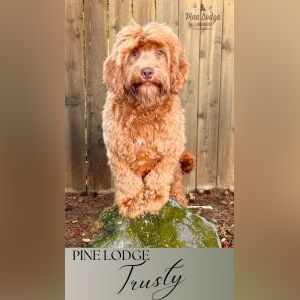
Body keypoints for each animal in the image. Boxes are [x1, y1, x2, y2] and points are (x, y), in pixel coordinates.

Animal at [102, 22, 195, 218]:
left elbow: (158, 176)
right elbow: (128, 180)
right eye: (134, 53)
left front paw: (153, 199)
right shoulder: (116, 151)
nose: (147, 71)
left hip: (177, 174)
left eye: (160, 52)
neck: (145, 107)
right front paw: (131, 202)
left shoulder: (171, 149)